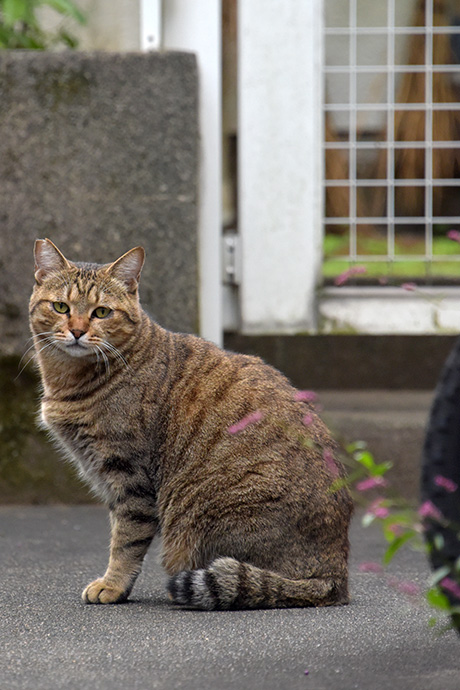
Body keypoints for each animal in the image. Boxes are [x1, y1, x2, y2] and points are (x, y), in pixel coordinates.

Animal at [29, 238, 352, 608]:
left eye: (102, 312)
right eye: (60, 307)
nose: (78, 331)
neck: (70, 379)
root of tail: (336, 574)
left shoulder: (129, 477)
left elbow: (125, 541)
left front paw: (112, 585)